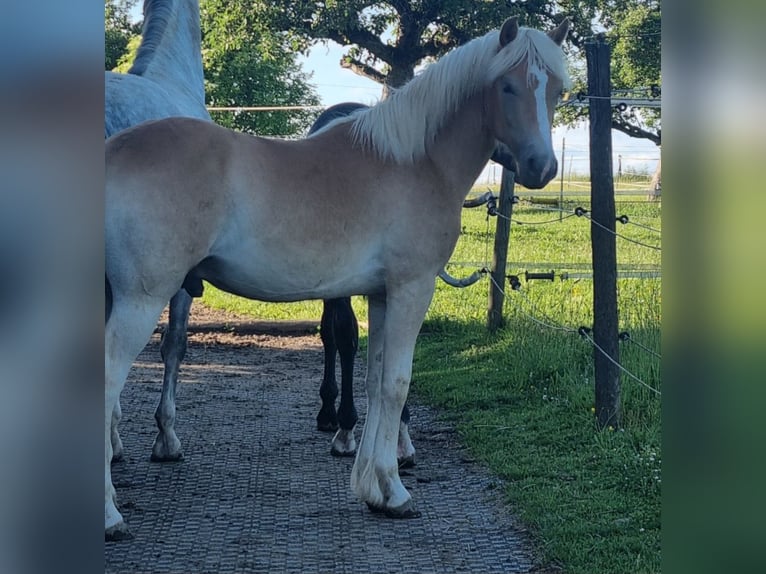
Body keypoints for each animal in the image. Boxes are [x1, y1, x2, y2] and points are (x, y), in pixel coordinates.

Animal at [105, 16, 571, 540]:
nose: (541, 167)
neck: (416, 161)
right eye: (507, 85)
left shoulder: (381, 296)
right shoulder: (413, 289)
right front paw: (396, 491)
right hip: (139, 300)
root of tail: (114, 149)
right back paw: (109, 515)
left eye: (557, 90)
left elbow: (374, 381)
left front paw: (377, 488)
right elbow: (397, 384)